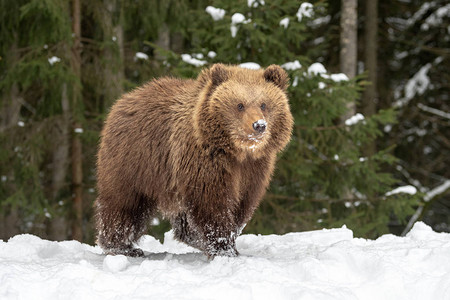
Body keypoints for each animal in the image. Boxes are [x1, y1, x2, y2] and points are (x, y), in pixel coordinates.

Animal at [93, 63, 294, 258]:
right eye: (240, 105)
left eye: (264, 104)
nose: (259, 125)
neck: (236, 152)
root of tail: (124, 99)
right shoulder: (205, 162)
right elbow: (212, 203)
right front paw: (224, 248)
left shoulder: (254, 169)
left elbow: (242, 204)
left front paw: (227, 240)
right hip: (134, 162)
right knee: (125, 204)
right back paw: (122, 246)